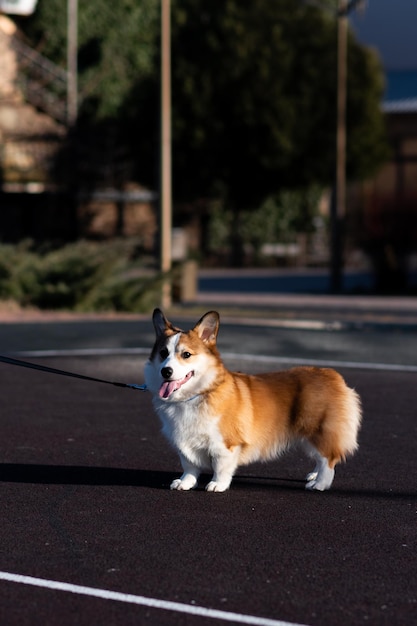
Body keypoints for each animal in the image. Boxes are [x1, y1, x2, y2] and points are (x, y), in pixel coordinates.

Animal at [145, 310, 360, 490]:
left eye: (186, 354)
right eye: (163, 353)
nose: (166, 371)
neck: (195, 395)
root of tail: (332, 375)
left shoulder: (225, 444)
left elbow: (221, 467)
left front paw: (217, 485)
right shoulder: (184, 442)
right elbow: (189, 466)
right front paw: (185, 483)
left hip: (319, 430)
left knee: (328, 459)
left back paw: (319, 484)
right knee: (320, 458)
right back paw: (314, 476)